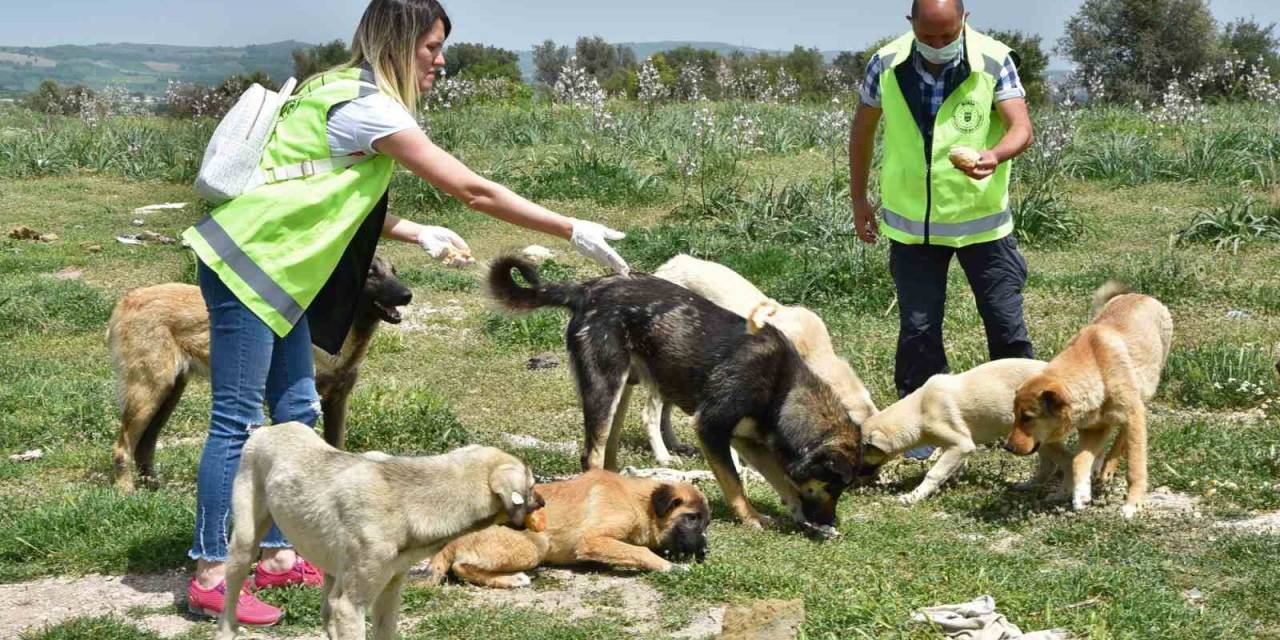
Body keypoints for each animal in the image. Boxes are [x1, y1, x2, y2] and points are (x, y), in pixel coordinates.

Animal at [110, 254, 412, 488]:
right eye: (371, 273)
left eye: (394, 271)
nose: (408, 295)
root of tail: (128, 299)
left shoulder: (338, 402)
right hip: (149, 393)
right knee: (122, 447)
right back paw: (127, 493)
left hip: (169, 394)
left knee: (145, 445)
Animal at [217, 419, 537, 640]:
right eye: (533, 485)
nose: (544, 501)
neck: (408, 501)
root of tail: (268, 429)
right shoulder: (350, 606)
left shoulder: (390, 593)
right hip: (243, 546)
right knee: (230, 603)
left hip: (332, 572)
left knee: (326, 613)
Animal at [427, 468, 711, 586]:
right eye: (692, 518)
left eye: (706, 521)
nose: (705, 552)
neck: (639, 502)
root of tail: (452, 540)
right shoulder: (591, 540)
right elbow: (640, 552)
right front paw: (672, 567)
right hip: (536, 545)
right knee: (460, 566)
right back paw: (512, 579)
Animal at [486, 257, 860, 532]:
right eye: (833, 486)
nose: (831, 523)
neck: (782, 389)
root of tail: (586, 288)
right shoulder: (711, 429)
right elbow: (736, 485)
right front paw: (751, 517)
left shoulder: (746, 440)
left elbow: (781, 478)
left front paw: (794, 511)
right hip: (604, 388)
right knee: (591, 456)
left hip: (623, 390)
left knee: (609, 453)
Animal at [1003, 282, 1172, 517]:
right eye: (1015, 415)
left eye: (1027, 417)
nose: (1007, 447)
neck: (1097, 367)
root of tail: (1140, 295)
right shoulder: (1093, 429)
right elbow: (1078, 459)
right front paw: (1081, 493)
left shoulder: (1134, 417)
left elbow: (1135, 467)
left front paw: (1134, 502)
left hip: (1142, 398)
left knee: (1123, 436)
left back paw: (1108, 468)